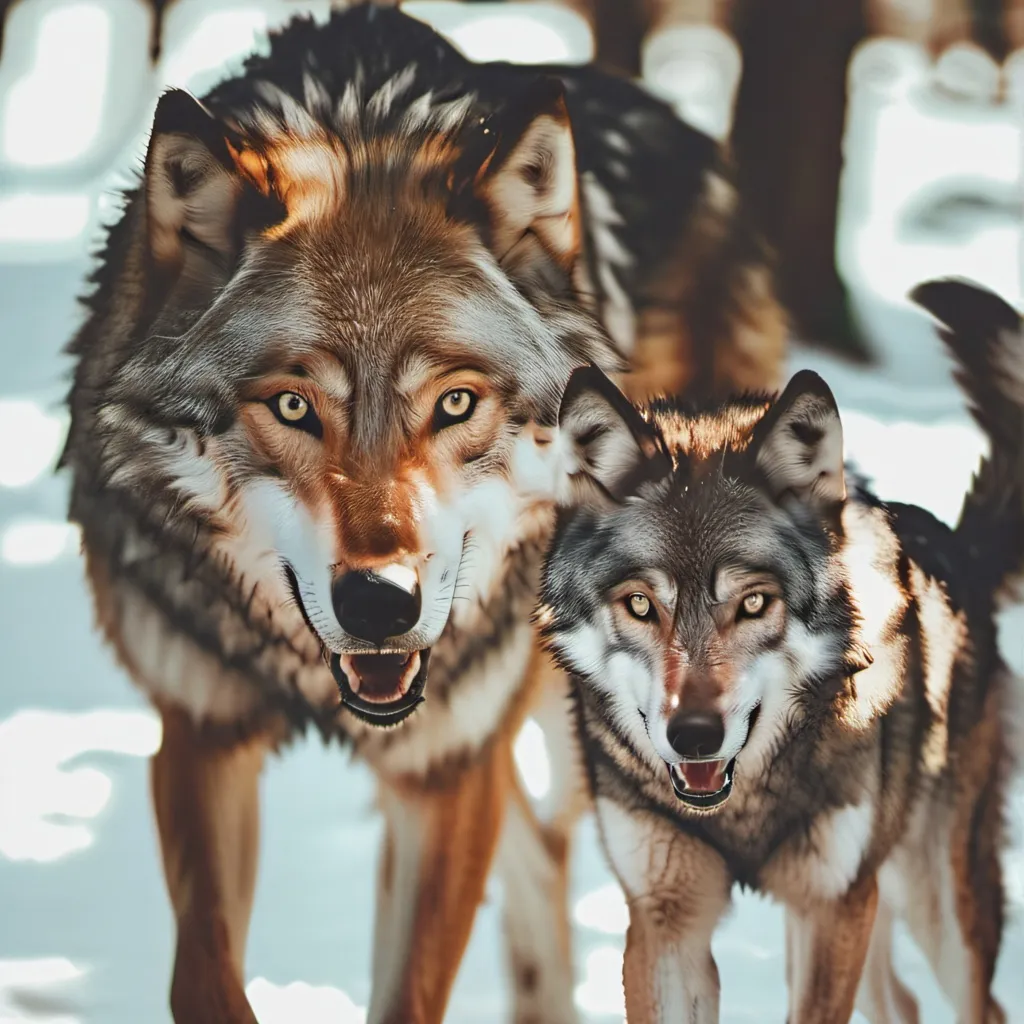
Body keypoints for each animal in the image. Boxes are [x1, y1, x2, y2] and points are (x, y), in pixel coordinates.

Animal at [59, 3, 787, 1022]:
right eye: (295, 406)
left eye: (454, 404)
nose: (380, 604)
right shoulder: (199, 733)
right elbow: (201, 976)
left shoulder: (448, 770)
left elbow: (410, 988)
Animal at [538, 278, 1023, 1023]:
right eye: (642, 605)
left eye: (754, 603)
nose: (695, 737)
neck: (740, 808)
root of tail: (954, 545)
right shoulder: (665, 921)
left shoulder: (830, 907)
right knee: (902, 1004)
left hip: (934, 905)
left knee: (979, 1003)